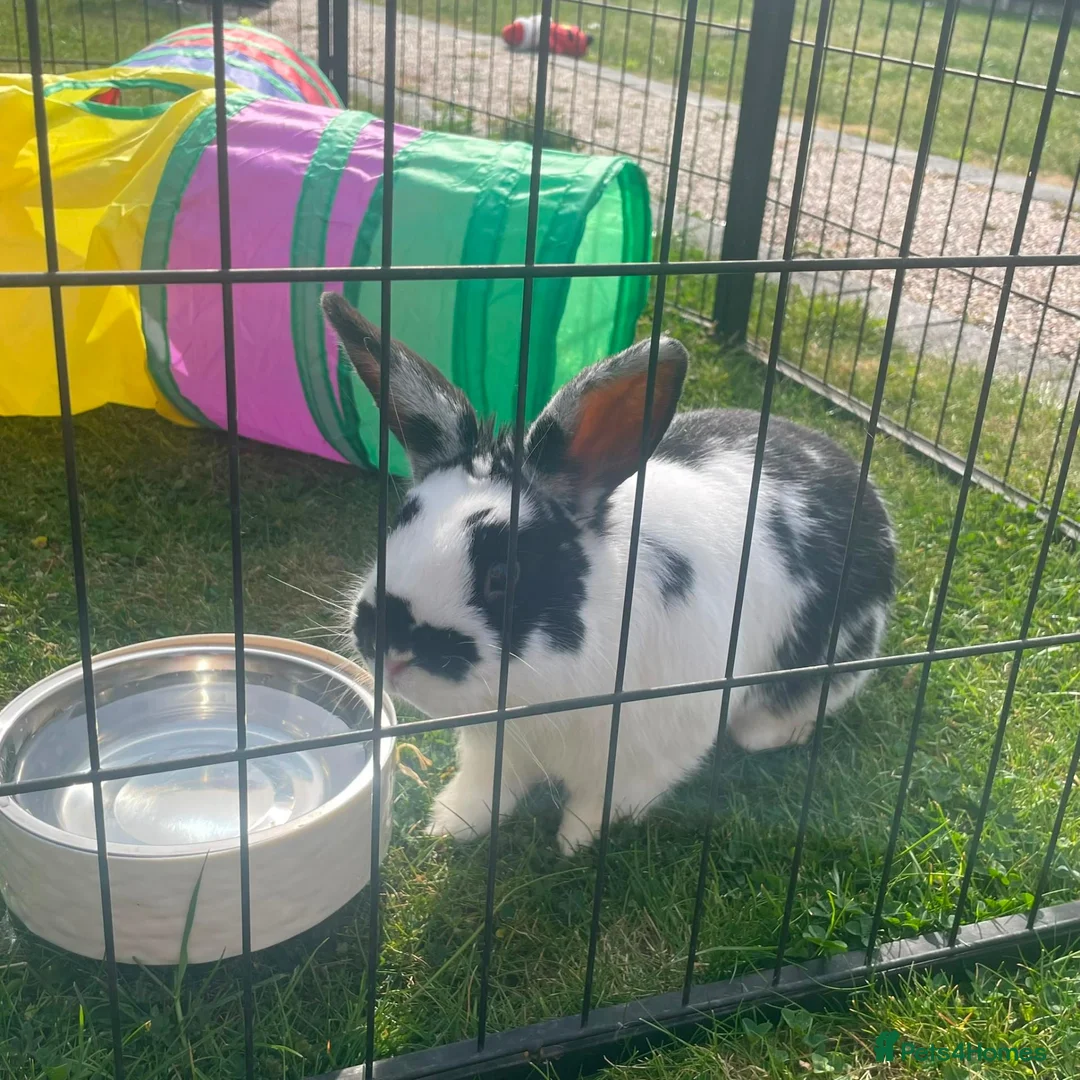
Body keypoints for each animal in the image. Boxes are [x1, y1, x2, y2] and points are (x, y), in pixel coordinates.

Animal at [321, 292, 896, 855]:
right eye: (400, 521)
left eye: (503, 575)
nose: (385, 641)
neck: (534, 693)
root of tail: (850, 467)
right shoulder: (494, 747)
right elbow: (487, 784)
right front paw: (451, 824)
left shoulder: (643, 756)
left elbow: (602, 800)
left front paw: (574, 843)